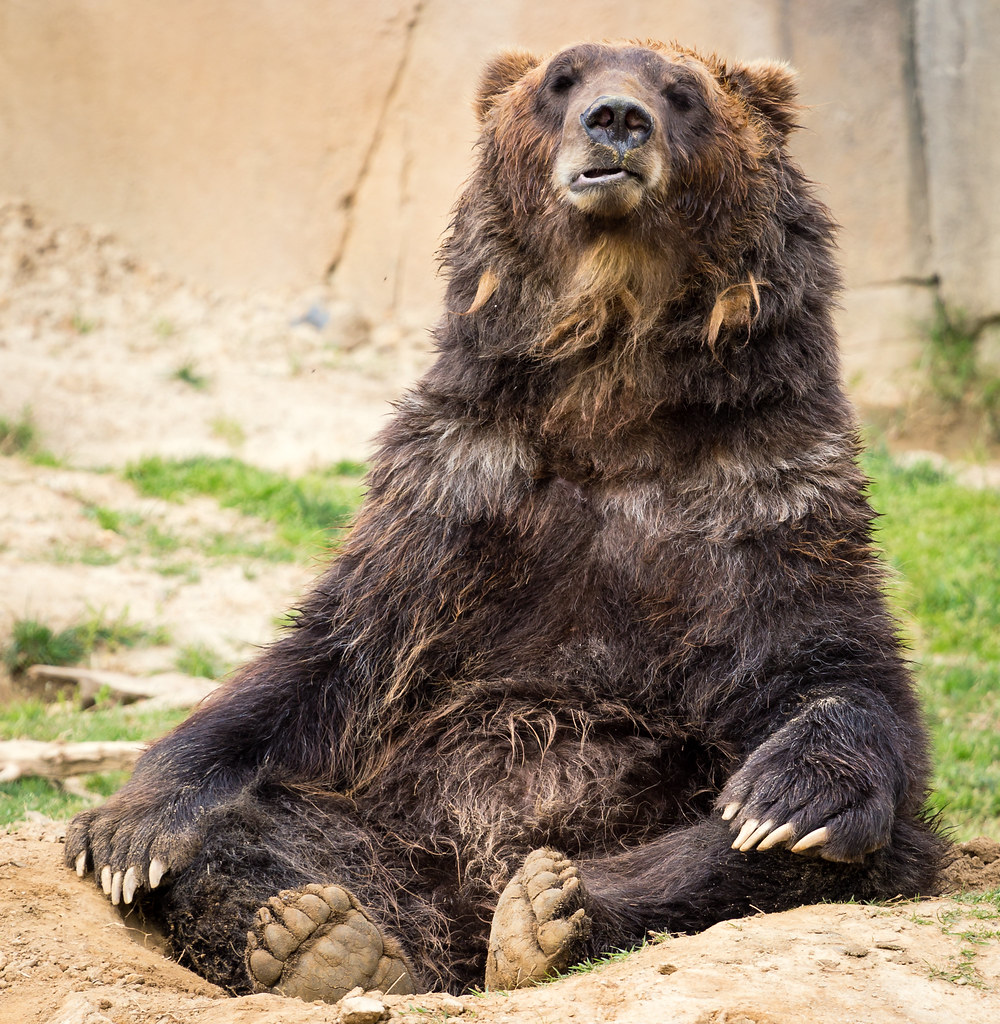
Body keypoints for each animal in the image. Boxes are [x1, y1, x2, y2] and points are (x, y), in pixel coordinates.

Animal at [66, 39, 944, 1002]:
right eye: (563, 78)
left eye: (682, 91)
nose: (616, 118)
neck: (612, 395)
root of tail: (461, 916)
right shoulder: (454, 501)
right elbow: (321, 665)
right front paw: (131, 830)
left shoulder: (762, 498)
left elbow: (835, 672)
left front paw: (787, 797)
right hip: (394, 823)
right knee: (269, 832)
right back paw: (321, 937)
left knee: (793, 855)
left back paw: (543, 913)